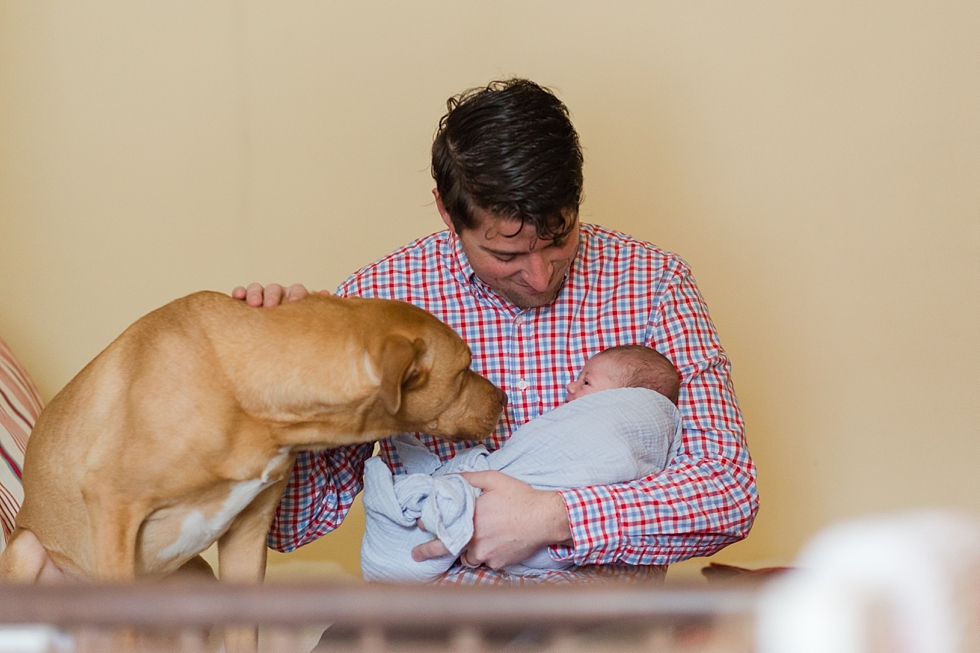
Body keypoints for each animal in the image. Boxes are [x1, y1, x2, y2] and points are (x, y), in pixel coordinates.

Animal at [0, 290, 506, 584]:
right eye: (464, 368)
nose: (504, 399)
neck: (235, 386)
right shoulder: (112, 505)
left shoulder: (245, 541)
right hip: (26, 551)